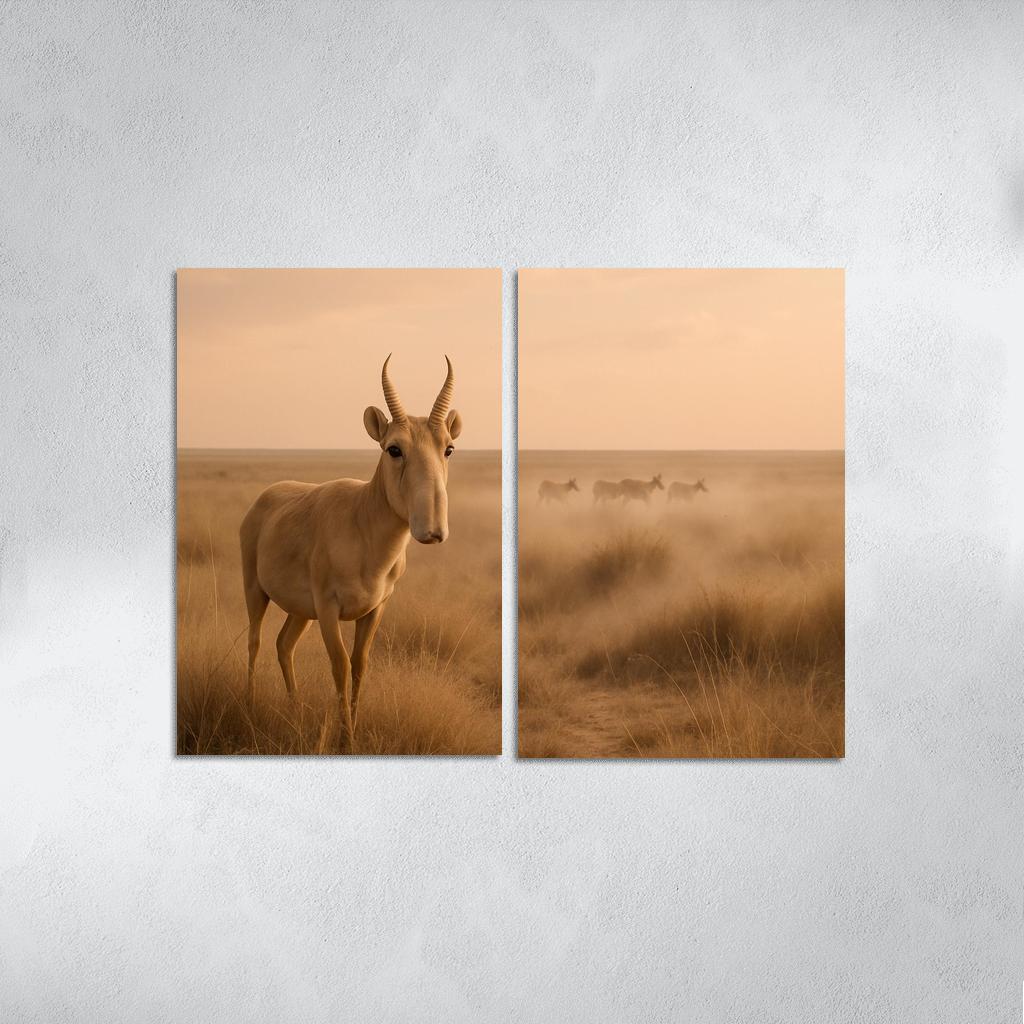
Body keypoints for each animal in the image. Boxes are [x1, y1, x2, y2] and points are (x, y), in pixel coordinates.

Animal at [239, 355, 461, 751]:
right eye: (394, 448)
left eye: (448, 448)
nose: (433, 530)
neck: (362, 526)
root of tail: (265, 498)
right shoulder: (329, 610)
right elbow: (340, 666)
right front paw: (347, 741)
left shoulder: (375, 610)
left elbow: (359, 665)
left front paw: (350, 733)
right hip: (256, 590)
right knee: (255, 641)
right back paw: (250, 705)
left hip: (301, 612)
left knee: (284, 644)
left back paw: (294, 709)